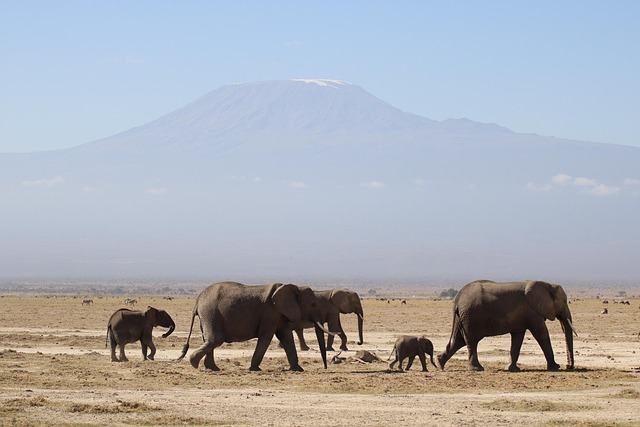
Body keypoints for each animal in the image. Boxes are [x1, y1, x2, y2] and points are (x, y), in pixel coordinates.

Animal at [177, 282, 338, 372]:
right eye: (313, 304)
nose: (325, 368)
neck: (294, 287)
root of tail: (197, 300)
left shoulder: (279, 314)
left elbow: (286, 337)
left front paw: (298, 370)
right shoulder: (270, 313)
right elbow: (266, 337)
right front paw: (254, 369)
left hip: (208, 315)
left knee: (210, 340)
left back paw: (213, 369)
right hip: (210, 313)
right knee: (216, 339)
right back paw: (194, 363)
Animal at [437, 280, 577, 372]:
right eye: (564, 302)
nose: (568, 366)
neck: (548, 285)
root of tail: (457, 299)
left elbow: (517, 338)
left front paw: (512, 369)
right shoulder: (532, 312)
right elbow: (541, 334)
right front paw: (555, 367)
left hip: (462, 317)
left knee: (458, 341)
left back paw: (439, 363)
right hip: (470, 317)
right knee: (471, 341)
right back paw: (477, 369)